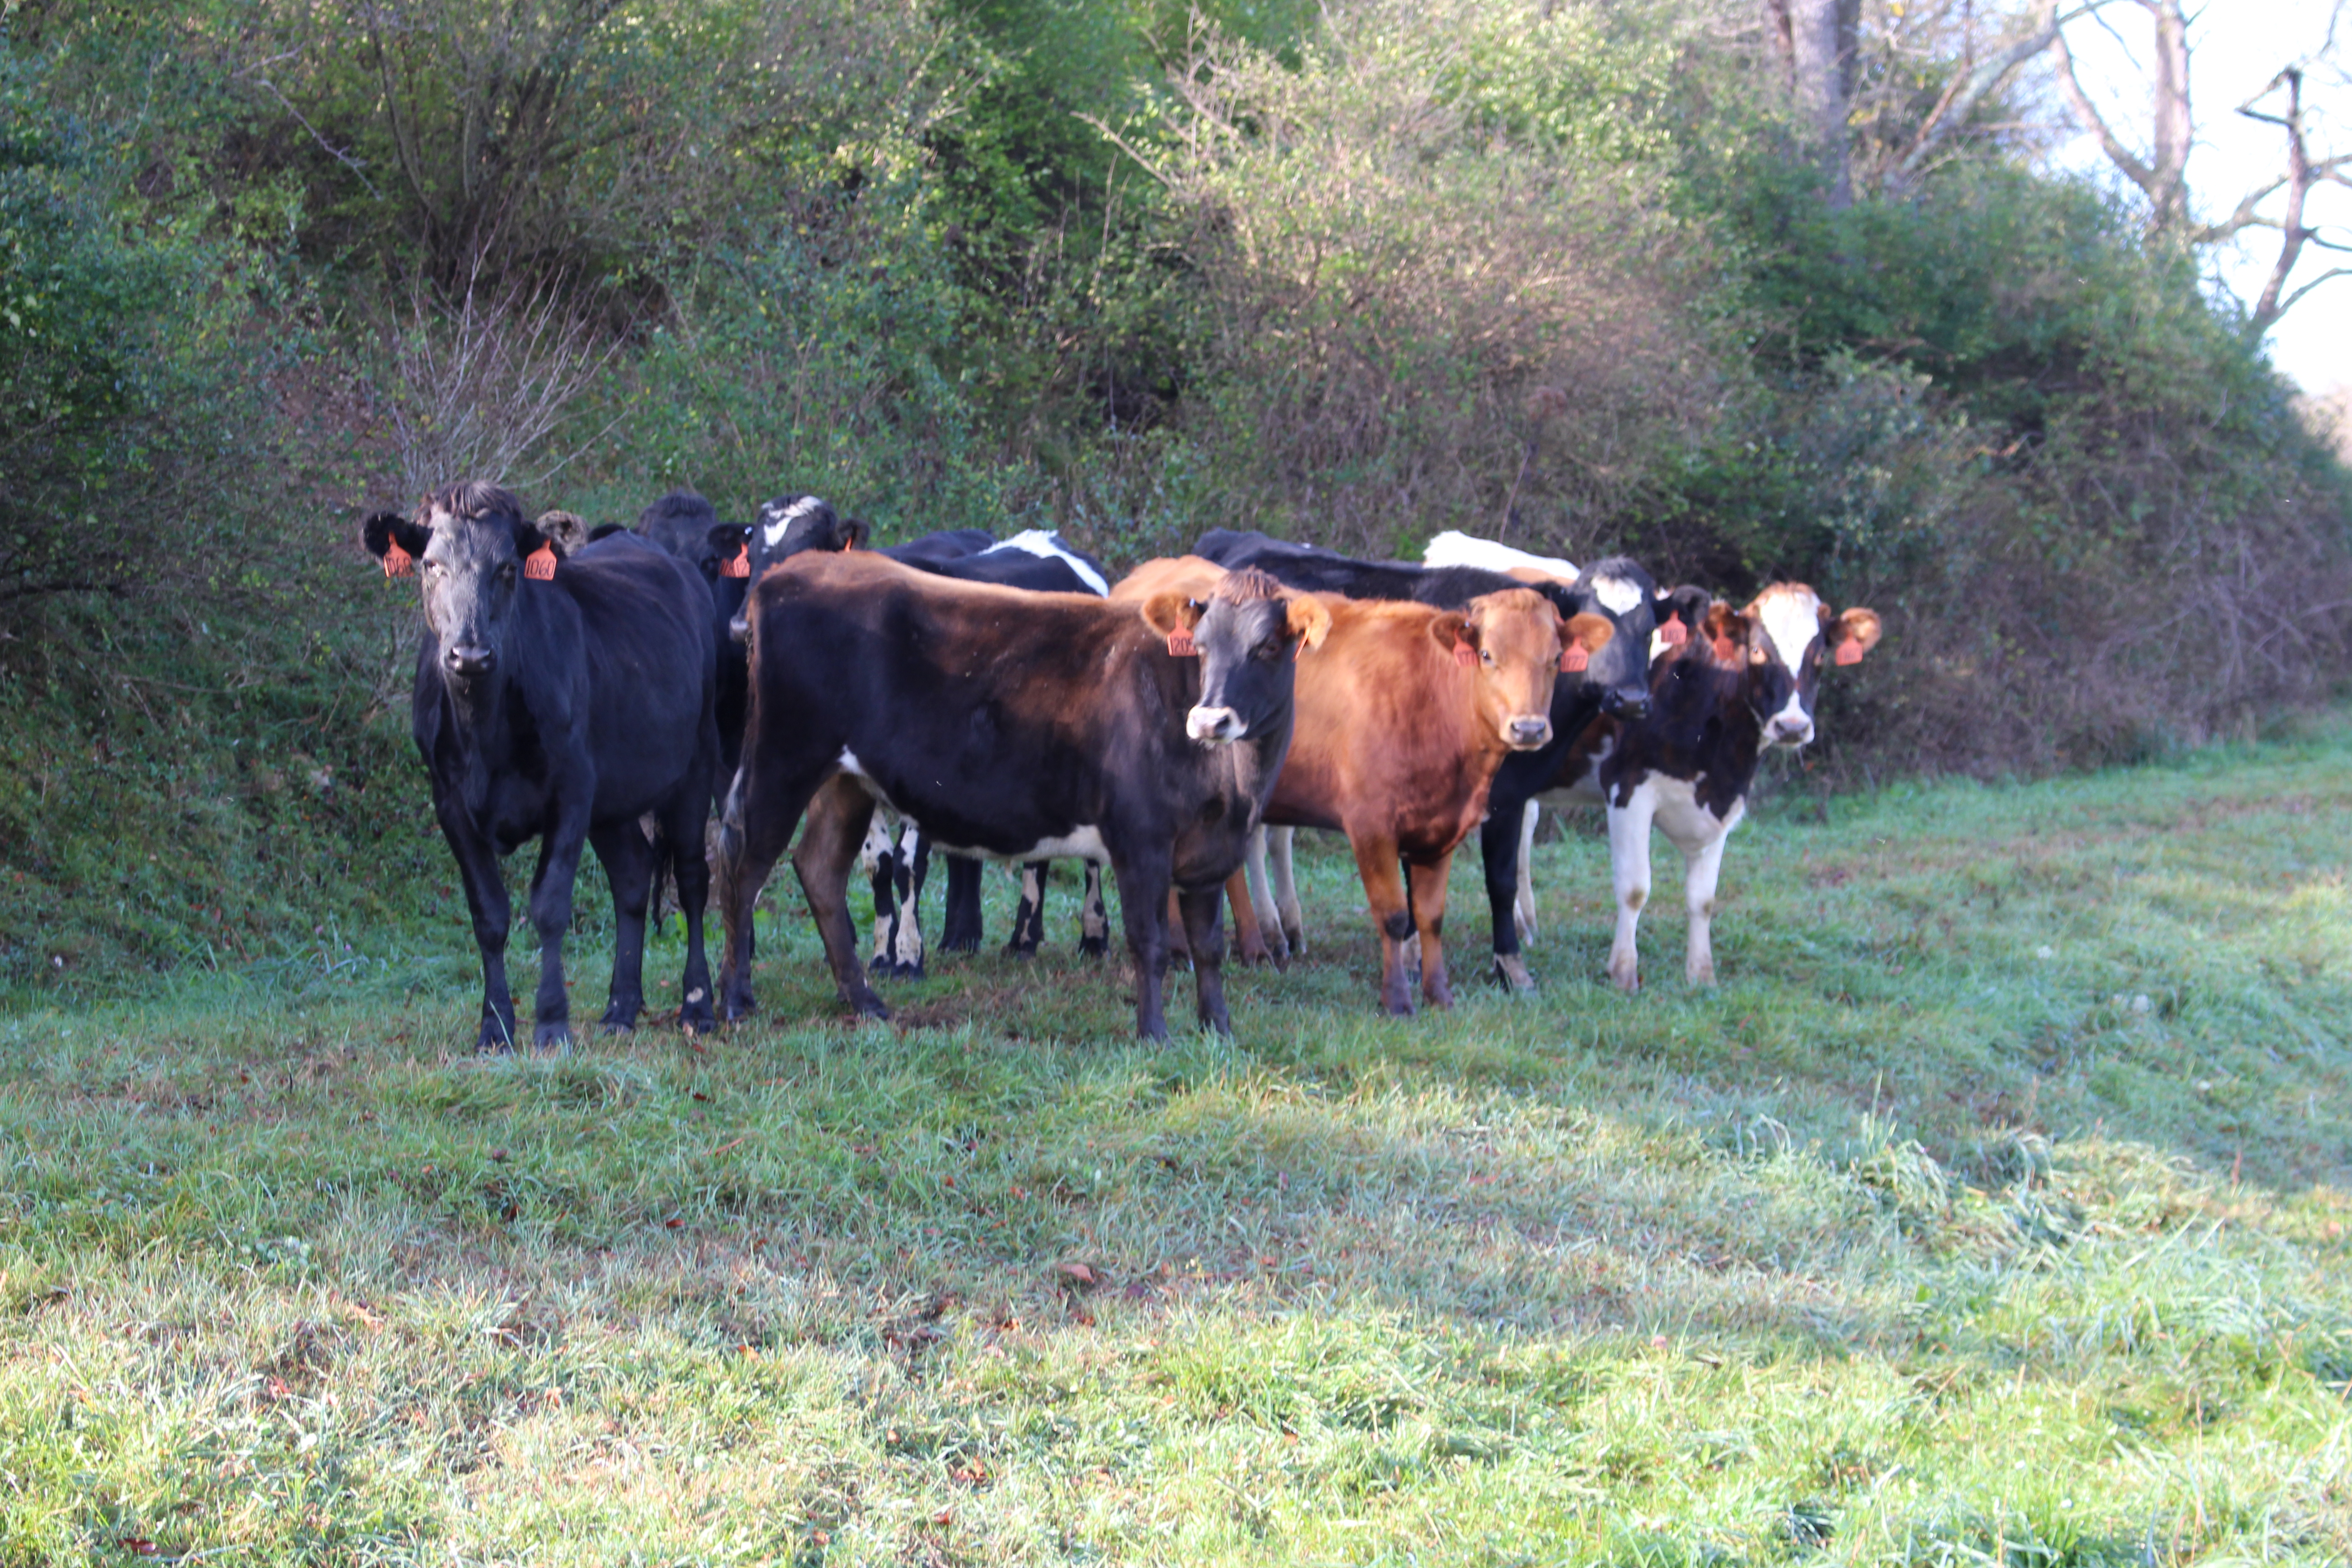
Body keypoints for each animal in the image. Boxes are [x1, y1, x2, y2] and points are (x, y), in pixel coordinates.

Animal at [362, 481, 720, 1051]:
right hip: (615, 799)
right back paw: (621, 1008)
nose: (469, 654)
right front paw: (494, 1027)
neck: (484, 731)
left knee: (691, 879)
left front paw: (551, 1023)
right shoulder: (450, 801)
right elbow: (489, 915)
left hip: (696, 764)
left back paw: (699, 1006)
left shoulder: (571, 790)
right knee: (633, 875)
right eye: (431, 565)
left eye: (508, 568)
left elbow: (550, 907)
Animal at [712, 553, 1331, 1038]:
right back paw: (735, 1001)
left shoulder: (1209, 845)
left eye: (1268, 646)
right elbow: (1150, 941)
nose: (1208, 719)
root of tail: (788, 574)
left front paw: (1218, 1029)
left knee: (818, 868)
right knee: (745, 869)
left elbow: (1208, 945)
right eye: (1199, 647)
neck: (1235, 786)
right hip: (783, 757)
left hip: (847, 779)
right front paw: (1154, 1034)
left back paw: (862, 999)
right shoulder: (1141, 838)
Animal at [1529, 583, 1882, 991]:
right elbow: (1635, 889)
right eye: (1757, 651)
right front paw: (1624, 972)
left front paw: (1701, 975)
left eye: (1821, 654)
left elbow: (1703, 899)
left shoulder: (1724, 801)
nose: (1792, 726)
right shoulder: (1627, 786)